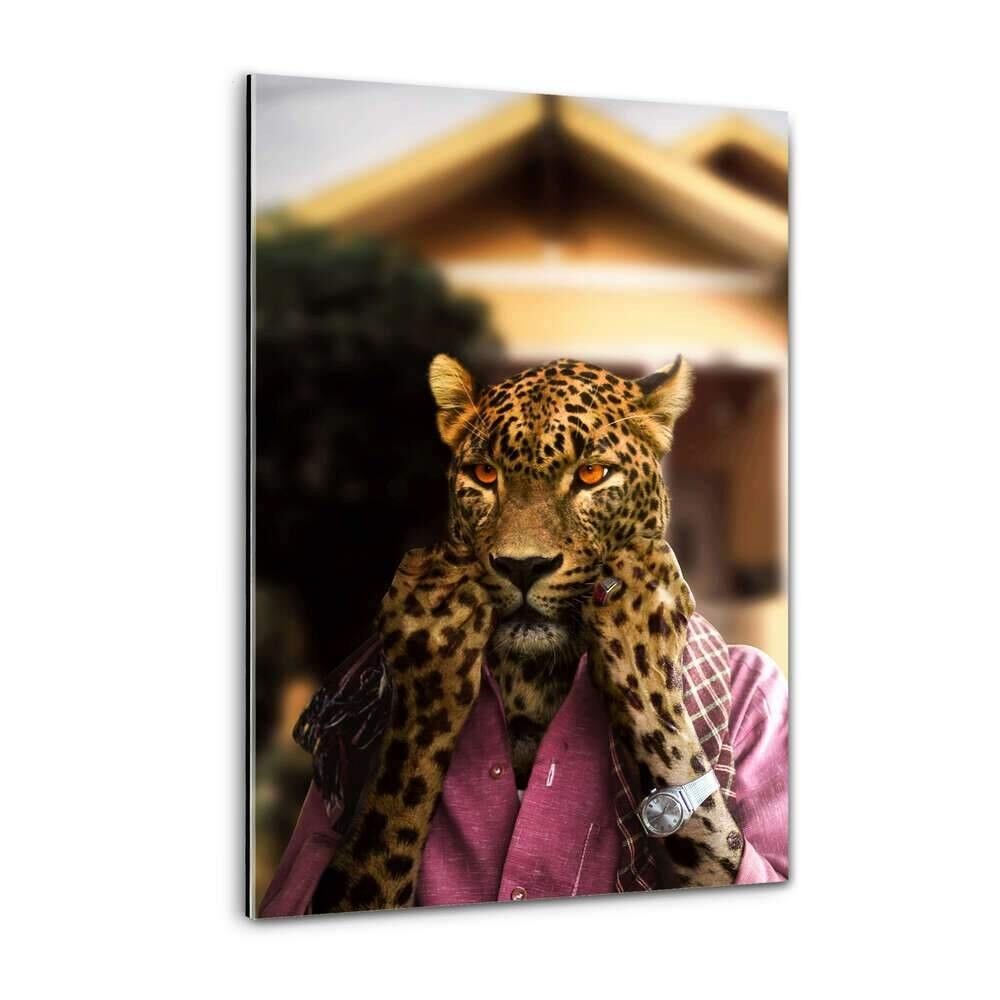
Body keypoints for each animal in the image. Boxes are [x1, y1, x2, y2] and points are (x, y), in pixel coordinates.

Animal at [310, 355, 744, 912]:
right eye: (484, 473)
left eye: (591, 473)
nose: (522, 566)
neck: (533, 683)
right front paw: (433, 618)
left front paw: (641, 616)